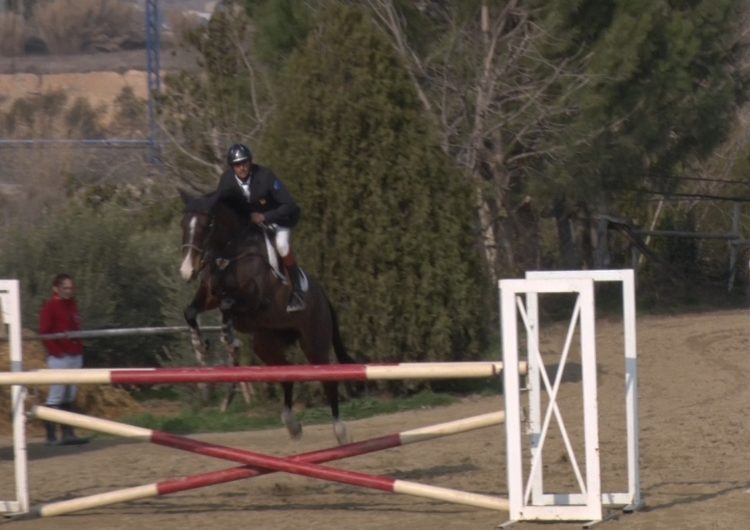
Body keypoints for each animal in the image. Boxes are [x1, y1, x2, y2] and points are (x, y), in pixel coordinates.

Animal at [179, 190, 356, 442]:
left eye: (208, 224)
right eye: (183, 223)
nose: (187, 271)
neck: (229, 255)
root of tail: (323, 295)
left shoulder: (255, 301)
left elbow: (227, 305)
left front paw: (228, 338)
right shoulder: (209, 295)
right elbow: (191, 311)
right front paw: (200, 345)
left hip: (314, 343)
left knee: (327, 380)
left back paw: (340, 431)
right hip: (266, 344)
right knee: (286, 373)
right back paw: (292, 425)